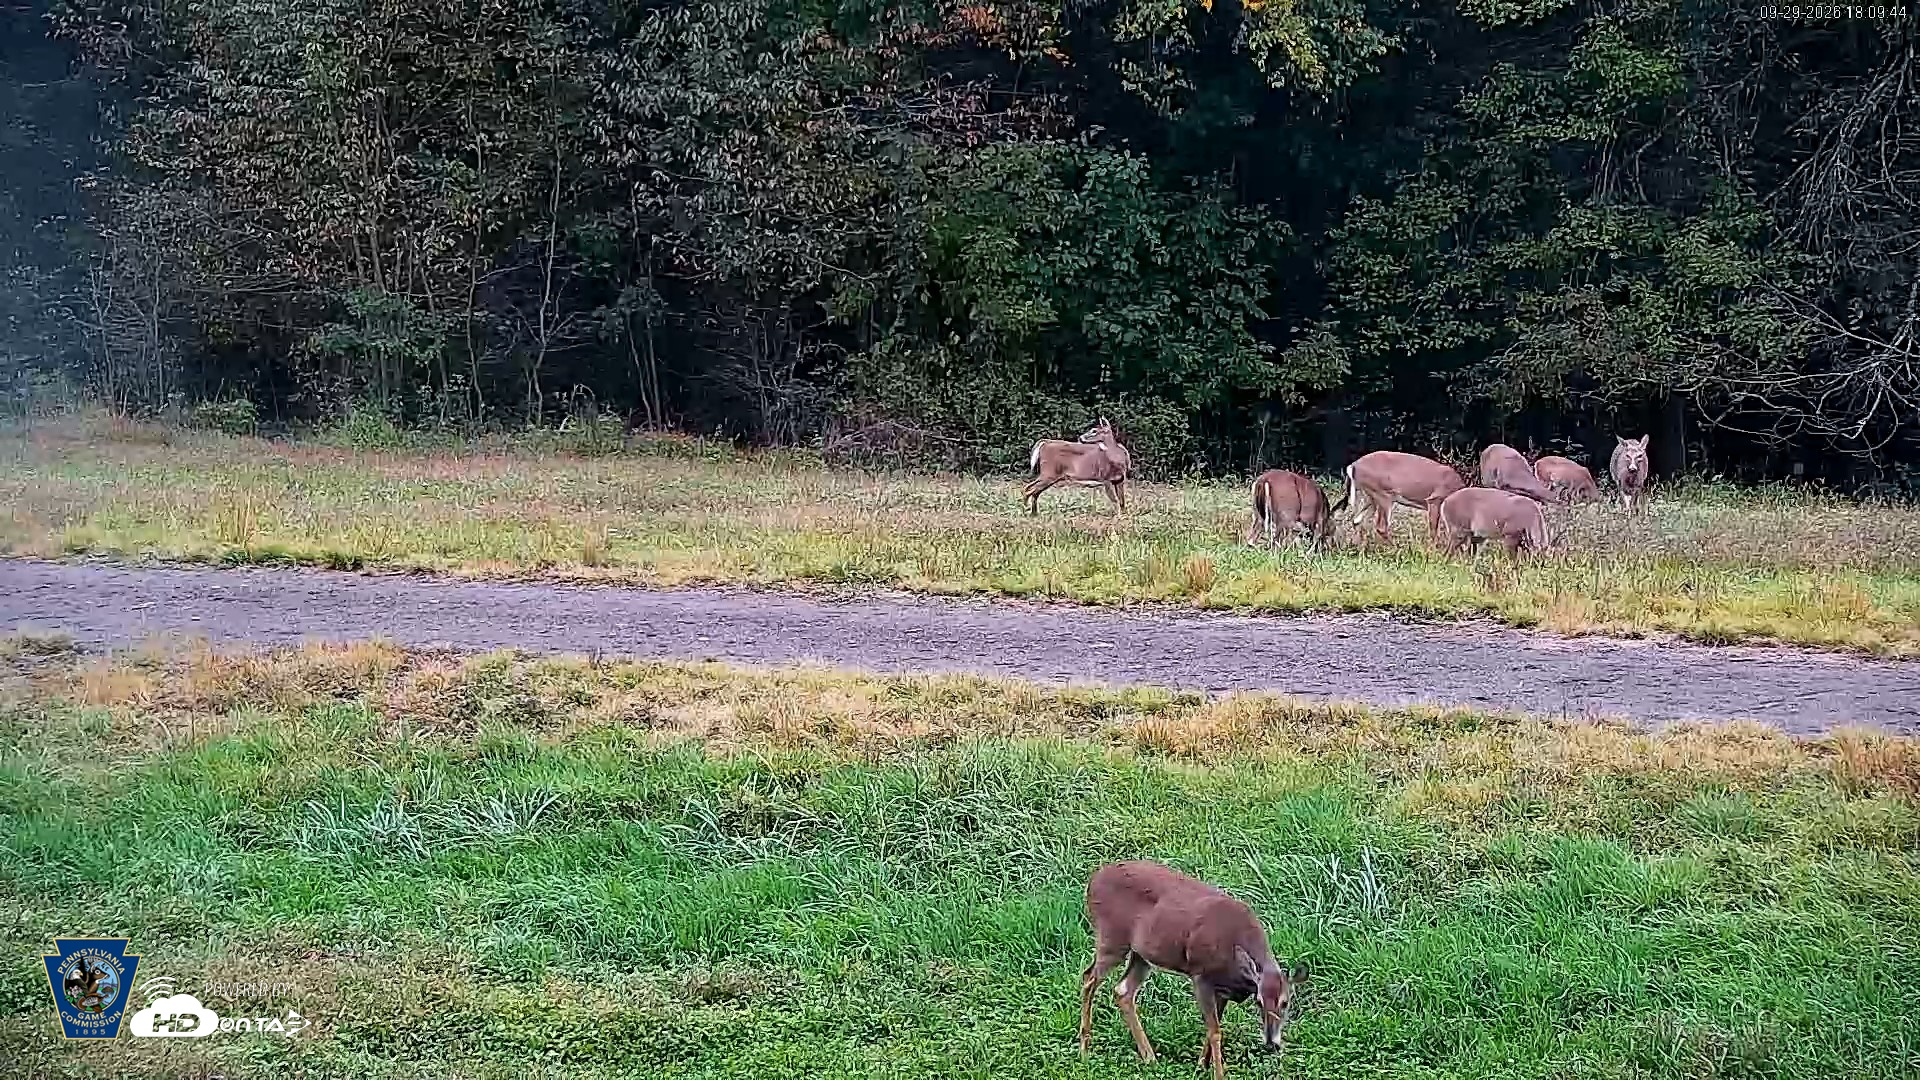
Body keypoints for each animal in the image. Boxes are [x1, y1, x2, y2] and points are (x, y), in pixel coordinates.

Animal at [1080, 860, 1304, 1080]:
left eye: (1285, 1002)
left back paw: (1150, 1058)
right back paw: (1084, 1049)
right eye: (1259, 1002)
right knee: (1089, 978)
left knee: (1123, 990)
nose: (1271, 1042)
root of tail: (1092, 882)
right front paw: (1218, 1074)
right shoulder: (1201, 976)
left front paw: (1201, 1066)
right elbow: (1215, 1031)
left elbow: (1213, 1028)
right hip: (1112, 938)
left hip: (1141, 954)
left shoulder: (1224, 990)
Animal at [1328, 450, 1465, 547]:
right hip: (1382, 493)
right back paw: (1396, 548)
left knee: (1357, 520)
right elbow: (1433, 530)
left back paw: (1360, 547)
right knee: (1380, 526)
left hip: (1369, 496)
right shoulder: (1435, 499)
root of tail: (1353, 466)